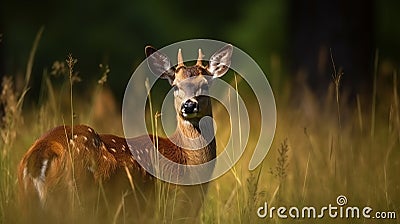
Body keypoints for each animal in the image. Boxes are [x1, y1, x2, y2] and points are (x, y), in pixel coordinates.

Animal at [17, 43, 233, 222]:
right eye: (176, 86)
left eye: (205, 84)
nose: (189, 105)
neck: (187, 161)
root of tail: (40, 155)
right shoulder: (175, 208)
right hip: (77, 201)